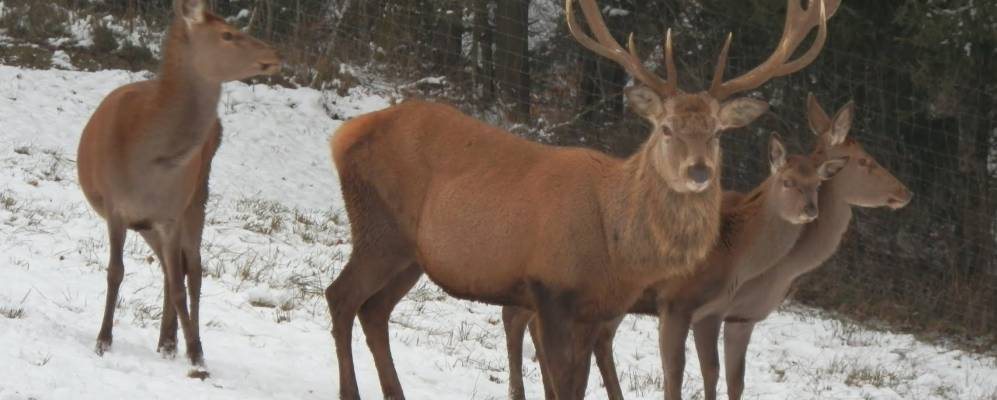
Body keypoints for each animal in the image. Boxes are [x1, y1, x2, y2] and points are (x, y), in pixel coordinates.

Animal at [75, 0, 280, 378]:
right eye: (227, 34)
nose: (275, 54)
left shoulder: (170, 215)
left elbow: (179, 284)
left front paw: (197, 356)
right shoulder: (117, 207)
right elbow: (116, 272)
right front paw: (103, 341)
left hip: (198, 195)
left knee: (192, 270)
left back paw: (180, 343)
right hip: (150, 223)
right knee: (173, 269)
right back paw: (167, 341)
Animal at [506, 135, 848, 400]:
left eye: (818, 184)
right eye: (788, 181)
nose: (810, 210)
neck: (732, 250)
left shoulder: (711, 310)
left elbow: (712, 370)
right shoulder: (676, 300)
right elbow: (677, 369)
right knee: (520, 318)